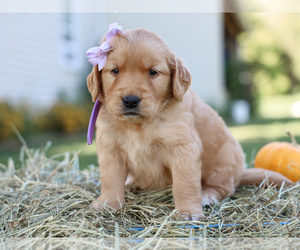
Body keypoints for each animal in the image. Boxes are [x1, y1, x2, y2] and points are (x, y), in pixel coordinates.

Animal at [87, 27, 292, 219]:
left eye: (153, 72)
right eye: (115, 70)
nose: (130, 101)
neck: (138, 125)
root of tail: (241, 172)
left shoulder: (183, 147)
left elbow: (184, 183)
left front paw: (188, 212)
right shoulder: (110, 147)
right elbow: (110, 178)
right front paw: (108, 203)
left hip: (225, 158)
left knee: (224, 187)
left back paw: (207, 196)